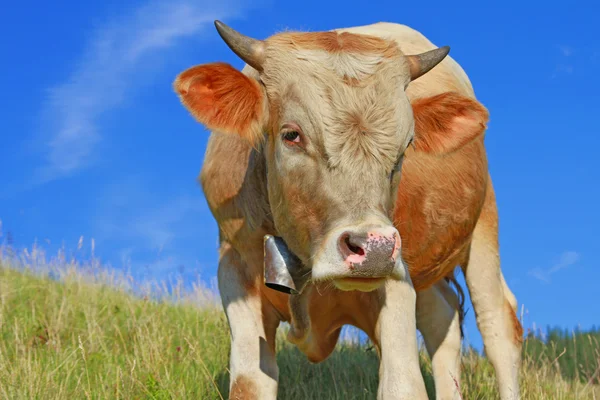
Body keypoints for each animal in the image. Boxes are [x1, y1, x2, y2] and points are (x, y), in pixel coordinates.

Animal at [172, 20, 520, 398]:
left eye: (406, 147)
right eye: (291, 135)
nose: (374, 249)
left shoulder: (397, 277)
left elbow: (403, 385)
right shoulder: (235, 269)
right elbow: (249, 384)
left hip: (482, 223)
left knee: (498, 326)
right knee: (441, 318)